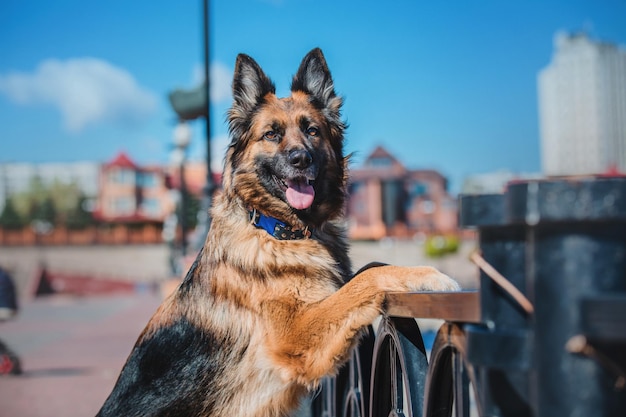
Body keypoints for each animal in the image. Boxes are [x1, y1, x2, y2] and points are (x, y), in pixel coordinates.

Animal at [97, 48, 458, 416]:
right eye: (271, 134)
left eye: (311, 130)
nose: (301, 159)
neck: (279, 229)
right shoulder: (296, 335)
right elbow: (364, 281)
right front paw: (429, 274)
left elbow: (367, 271)